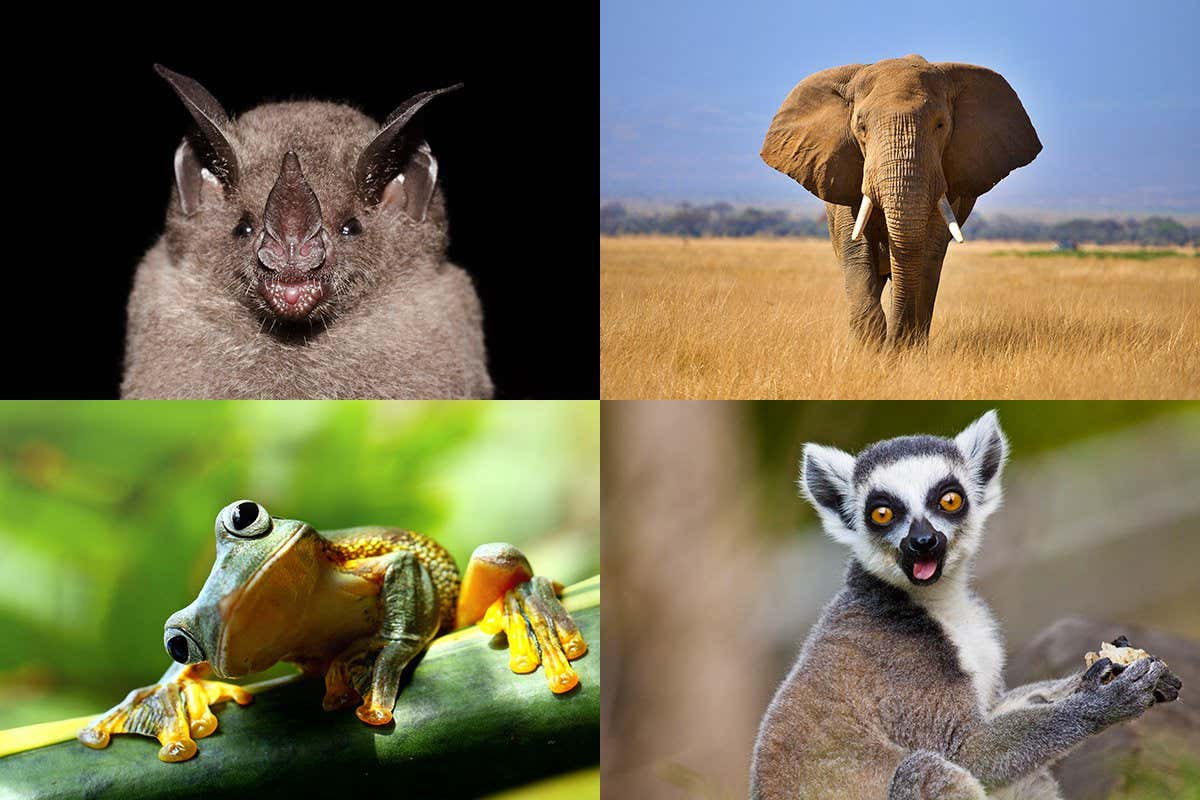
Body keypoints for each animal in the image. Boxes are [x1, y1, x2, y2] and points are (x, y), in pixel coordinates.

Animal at [761, 55, 1041, 347]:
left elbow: (927, 252)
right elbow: (856, 249)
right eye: (861, 127)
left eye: (940, 125)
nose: (893, 345)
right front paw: (869, 349)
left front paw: (904, 350)